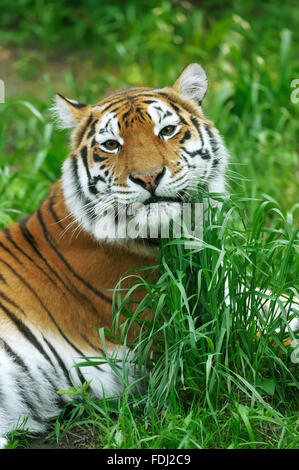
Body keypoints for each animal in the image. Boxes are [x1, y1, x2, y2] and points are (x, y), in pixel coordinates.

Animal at [0, 63, 298, 448]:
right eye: (111, 145)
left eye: (167, 131)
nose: (148, 177)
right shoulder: (174, 332)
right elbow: (267, 339)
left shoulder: (219, 290)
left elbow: (278, 300)